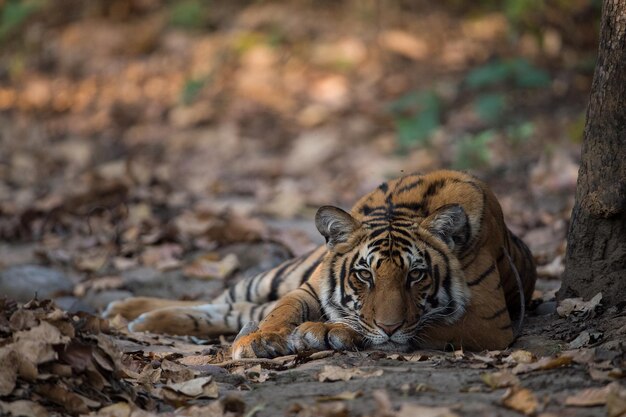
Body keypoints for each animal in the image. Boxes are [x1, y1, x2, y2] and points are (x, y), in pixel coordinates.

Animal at [105, 169, 532, 358]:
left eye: (416, 276)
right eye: (364, 275)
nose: (390, 326)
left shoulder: (489, 321)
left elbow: (425, 327)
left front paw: (326, 332)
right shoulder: (308, 287)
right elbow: (282, 310)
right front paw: (262, 339)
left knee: (231, 308)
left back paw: (138, 318)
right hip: (280, 274)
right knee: (227, 298)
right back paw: (127, 309)